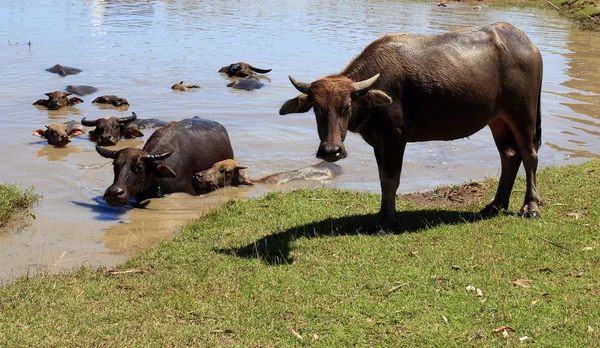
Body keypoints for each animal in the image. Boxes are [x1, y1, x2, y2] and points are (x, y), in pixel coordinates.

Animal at [282, 22, 544, 234]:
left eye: (346, 107)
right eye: (317, 108)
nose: (330, 151)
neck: (372, 97)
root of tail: (530, 45)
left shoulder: (395, 138)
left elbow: (391, 180)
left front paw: (387, 223)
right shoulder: (378, 142)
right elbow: (382, 180)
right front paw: (382, 217)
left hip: (523, 115)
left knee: (530, 155)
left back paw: (530, 206)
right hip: (497, 120)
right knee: (509, 156)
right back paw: (495, 205)